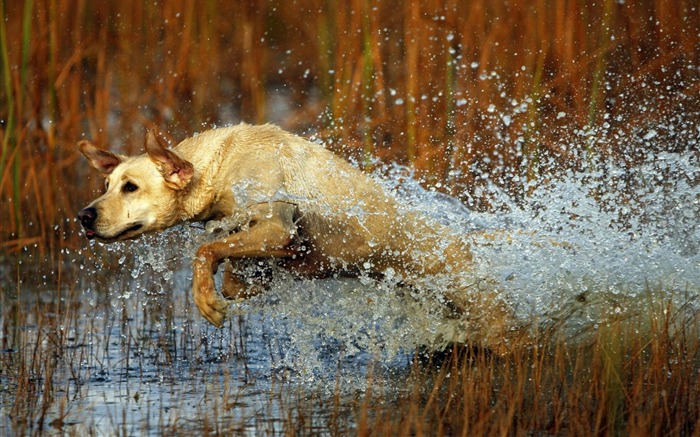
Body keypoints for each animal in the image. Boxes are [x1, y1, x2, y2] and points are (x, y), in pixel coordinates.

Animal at [78, 124, 516, 350]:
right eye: (107, 184)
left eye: (131, 187)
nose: (84, 216)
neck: (218, 167)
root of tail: (468, 243)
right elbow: (232, 267)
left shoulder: (278, 222)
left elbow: (205, 250)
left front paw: (206, 300)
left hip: (490, 317)